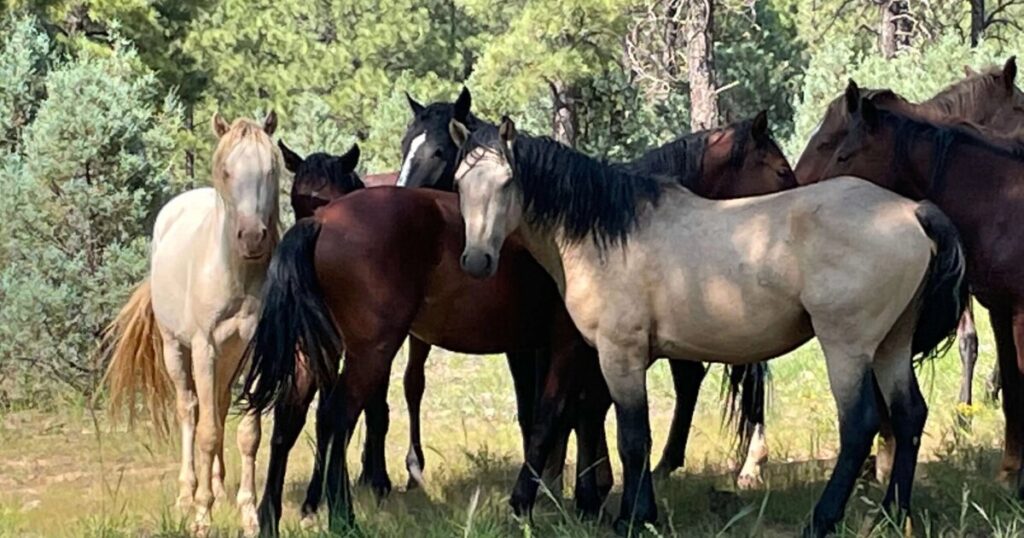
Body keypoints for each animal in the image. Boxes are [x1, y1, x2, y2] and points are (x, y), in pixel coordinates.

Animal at [101, 112, 282, 537]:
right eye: (227, 171)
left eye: (271, 169)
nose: (252, 237)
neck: (236, 275)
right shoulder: (205, 348)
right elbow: (207, 432)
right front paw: (202, 514)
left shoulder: (255, 353)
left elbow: (248, 434)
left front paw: (249, 514)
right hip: (176, 350)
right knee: (189, 410)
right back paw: (188, 494)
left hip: (228, 360)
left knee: (217, 404)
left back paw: (215, 484)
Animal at [397, 87, 795, 489]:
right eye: (405, 146)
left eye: (439, 151)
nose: (402, 197)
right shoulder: (543, 345)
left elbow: (564, 408)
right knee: (693, 379)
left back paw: (745, 463)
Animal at [450, 115, 967, 536]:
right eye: (459, 182)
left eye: (506, 182)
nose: (476, 261)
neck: (609, 233)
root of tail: (911, 210)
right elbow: (610, 428)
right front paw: (637, 512)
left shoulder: (619, 355)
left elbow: (628, 437)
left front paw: (627, 518)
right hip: (892, 344)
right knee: (909, 414)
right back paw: (892, 515)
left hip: (847, 347)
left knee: (858, 426)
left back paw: (822, 521)